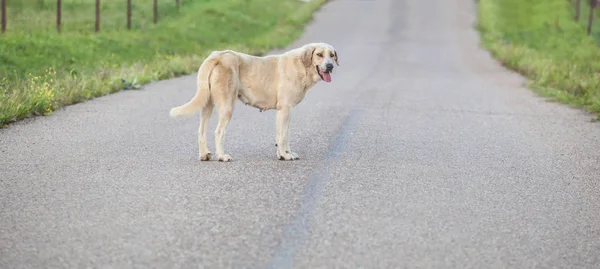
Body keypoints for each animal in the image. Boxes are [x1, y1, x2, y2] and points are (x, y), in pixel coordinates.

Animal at [169, 42, 338, 161]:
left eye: (332, 55)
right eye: (319, 54)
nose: (330, 66)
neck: (302, 66)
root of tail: (218, 55)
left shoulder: (287, 111)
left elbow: (285, 134)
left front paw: (284, 154)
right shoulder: (284, 110)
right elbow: (282, 136)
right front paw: (285, 155)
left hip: (207, 104)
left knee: (201, 131)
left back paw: (204, 155)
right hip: (227, 106)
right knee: (219, 132)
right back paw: (222, 156)